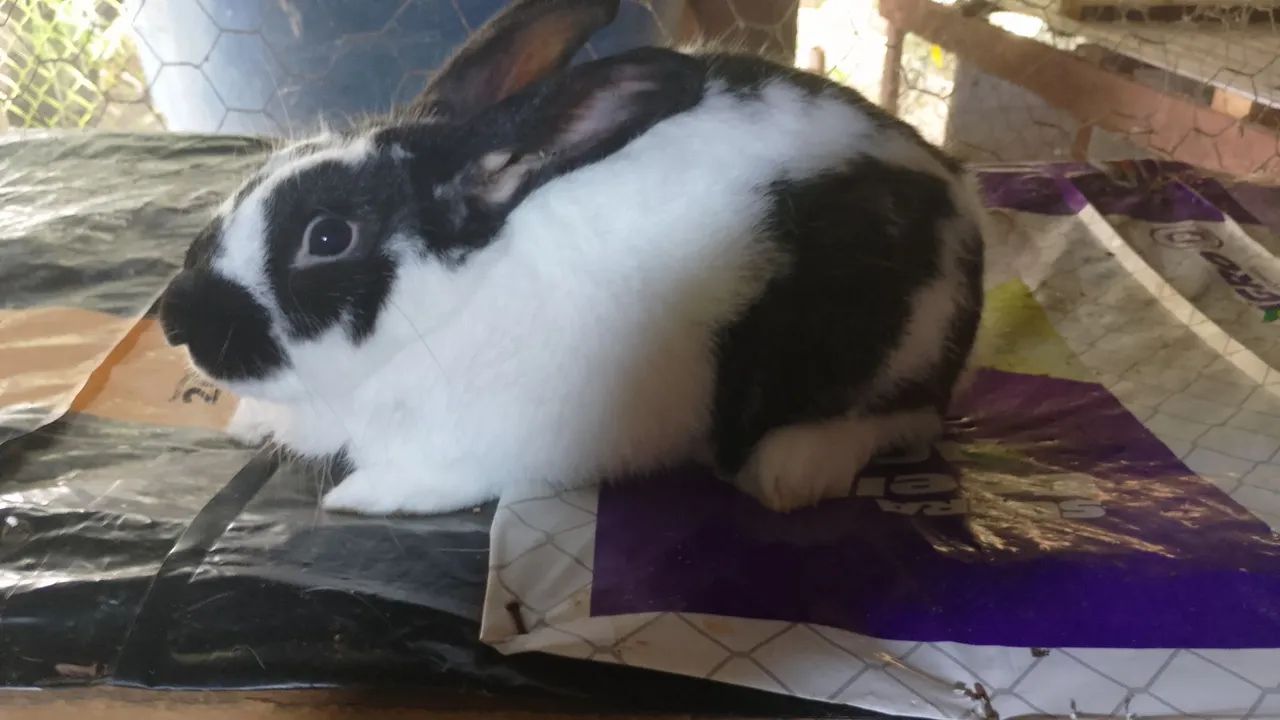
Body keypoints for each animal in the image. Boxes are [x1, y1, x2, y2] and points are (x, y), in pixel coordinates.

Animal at [158, 0, 986, 516]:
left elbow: (430, 479)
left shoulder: (490, 445)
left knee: (901, 419)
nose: (174, 321)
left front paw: (360, 496)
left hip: (893, 349)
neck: (452, 306)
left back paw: (788, 471)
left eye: (327, 238)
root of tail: (960, 200)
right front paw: (249, 425)